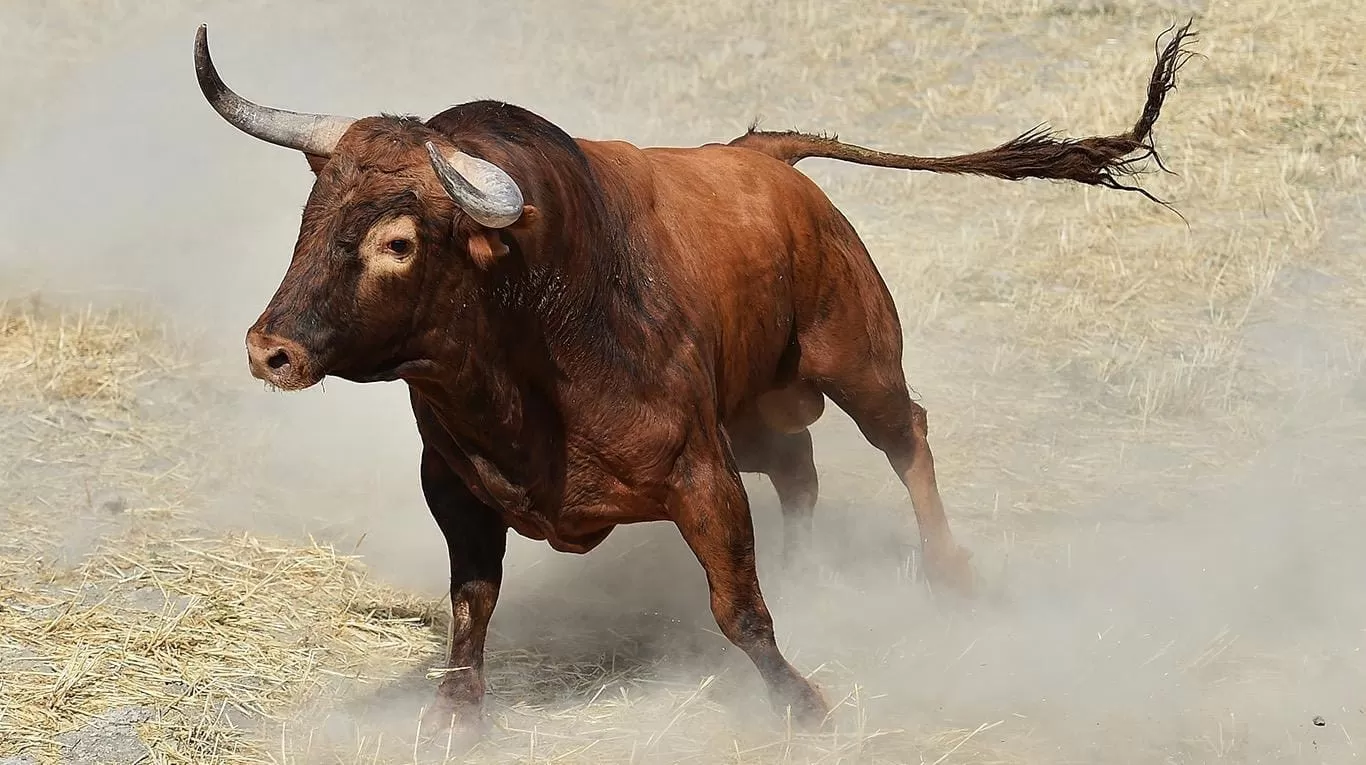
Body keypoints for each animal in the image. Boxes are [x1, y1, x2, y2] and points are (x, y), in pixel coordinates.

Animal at [192, 23, 1196, 737]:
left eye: (398, 242)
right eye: (314, 211)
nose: (270, 349)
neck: (533, 337)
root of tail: (765, 157)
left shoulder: (700, 473)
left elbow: (736, 605)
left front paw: (801, 702)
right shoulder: (454, 483)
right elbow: (472, 600)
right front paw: (452, 712)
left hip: (856, 358)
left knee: (906, 435)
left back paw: (949, 574)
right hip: (751, 411)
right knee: (798, 468)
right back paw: (813, 570)